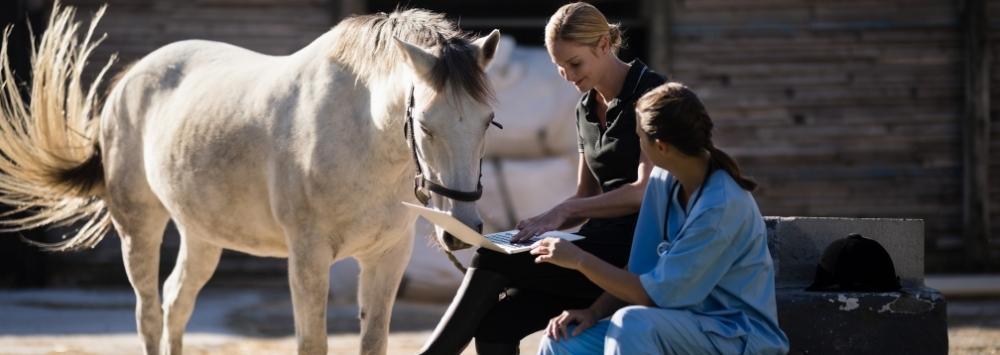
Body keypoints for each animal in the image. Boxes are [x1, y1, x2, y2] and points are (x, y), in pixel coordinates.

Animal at [0, 3, 500, 355]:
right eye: (426, 126)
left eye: (487, 121)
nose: (462, 231)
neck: (360, 131)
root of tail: (129, 80)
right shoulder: (308, 257)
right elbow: (312, 343)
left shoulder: (387, 256)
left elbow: (373, 342)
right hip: (138, 227)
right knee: (149, 314)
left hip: (201, 234)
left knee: (176, 302)